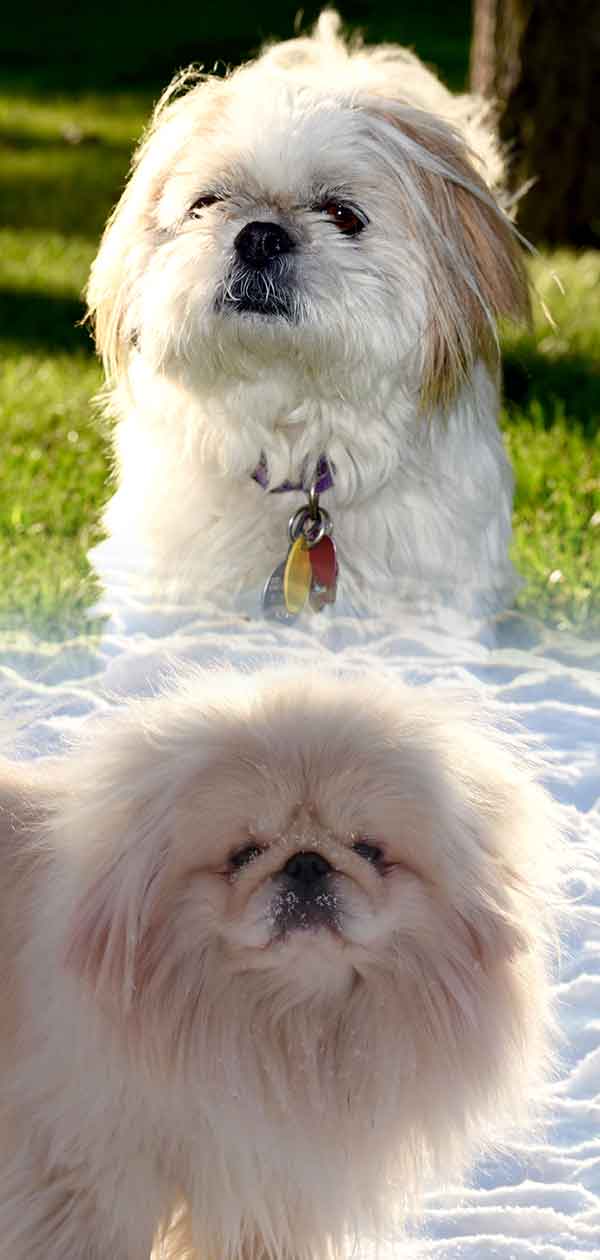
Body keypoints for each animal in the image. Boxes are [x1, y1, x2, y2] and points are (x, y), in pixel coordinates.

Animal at [1, 670, 562, 1260]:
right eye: (244, 854)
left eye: (369, 850)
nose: (307, 862)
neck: (289, 1022)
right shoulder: (87, 1178)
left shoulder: (272, 1187)